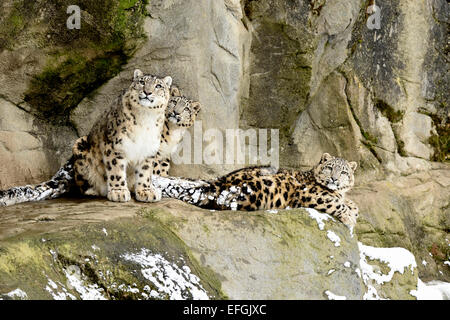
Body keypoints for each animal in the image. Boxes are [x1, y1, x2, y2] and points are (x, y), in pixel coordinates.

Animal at [0, 69, 172, 206]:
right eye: (142, 82)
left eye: (158, 86)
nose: (148, 92)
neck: (145, 117)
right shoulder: (114, 146)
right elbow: (116, 170)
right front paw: (118, 192)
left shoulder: (149, 150)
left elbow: (144, 173)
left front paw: (146, 191)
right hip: (81, 146)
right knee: (81, 184)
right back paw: (95, 190)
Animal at [153, 153, 360, 226]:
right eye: (329, 168)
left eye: (343, 172)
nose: (334, 179)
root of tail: (219, 183)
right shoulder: (311, 193)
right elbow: (335, 203)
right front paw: (349, 218)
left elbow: (350, 203)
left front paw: (352, 209)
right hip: (261, 189)